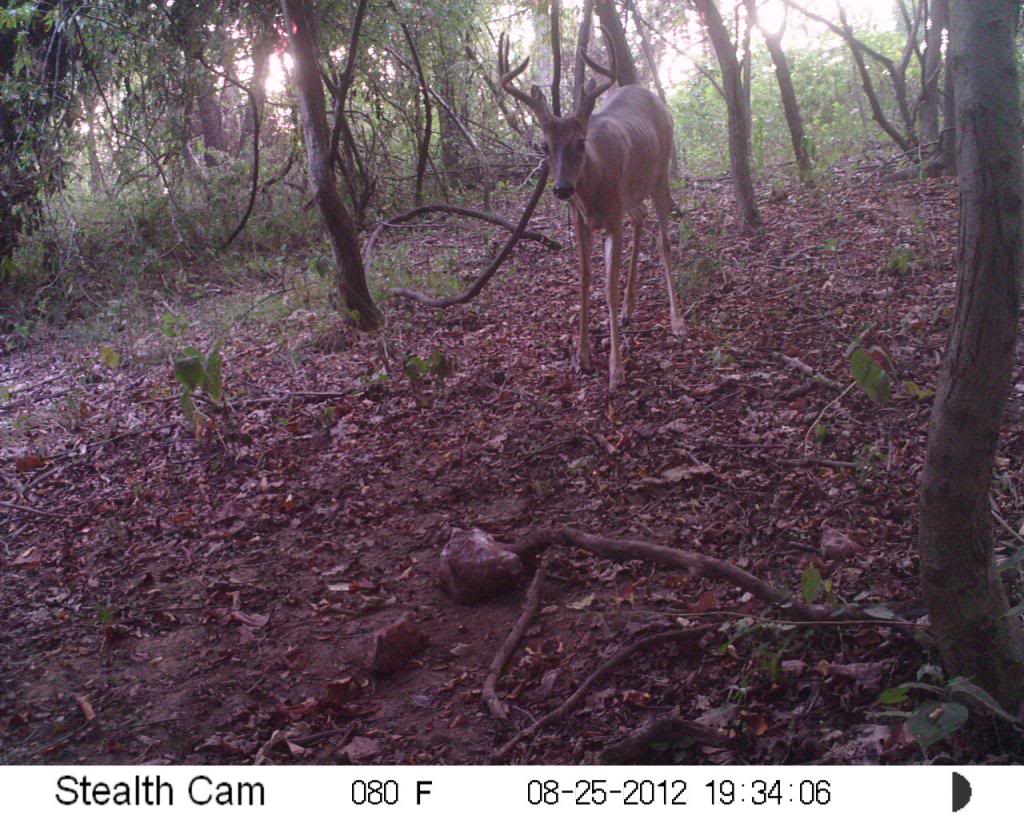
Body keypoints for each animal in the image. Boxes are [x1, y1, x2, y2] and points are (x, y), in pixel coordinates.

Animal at [499, 29, 684, 391]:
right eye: (545, 146)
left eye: (580, 142)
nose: (562, 188)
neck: (594, 183)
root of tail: (651, 94)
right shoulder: (581, 220)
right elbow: (584, 282)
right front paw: (582, 357)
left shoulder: (612, 219)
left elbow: (607, 288)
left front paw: (616, 371)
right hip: (632, 195)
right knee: (641, 218)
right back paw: (629, 309)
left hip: (660, 175)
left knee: (665, 242)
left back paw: (677, 322)